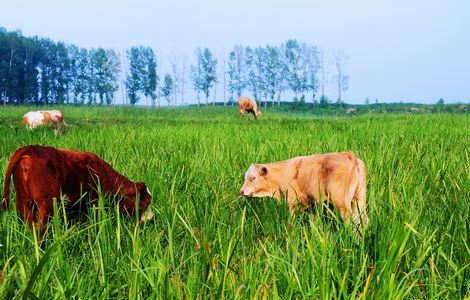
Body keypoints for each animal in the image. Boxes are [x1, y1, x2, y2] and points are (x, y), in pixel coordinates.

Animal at [1, 145, 152, 239]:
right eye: (144, 203)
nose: (140, 224)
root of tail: (31, 149)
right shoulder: (95, 202)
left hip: (24, 203)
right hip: (46, 205)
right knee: (40, 230)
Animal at [241, 152, 370, 230]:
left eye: (253, 178)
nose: (241, 191)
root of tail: (350, 156)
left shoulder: (292, 202)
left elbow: (291, 220)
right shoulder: (311, 205)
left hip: (342, 204)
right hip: (359, 200)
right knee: (363, 221)